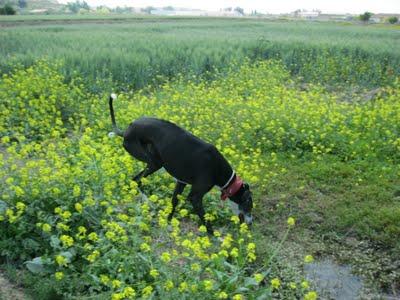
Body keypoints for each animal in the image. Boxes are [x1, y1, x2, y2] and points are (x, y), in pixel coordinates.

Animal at [109, 94, 253, 232]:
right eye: (249, 205)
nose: (250, 224)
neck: (218, 169)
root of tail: (126, 130)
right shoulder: (195, 197)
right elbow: (205, 219)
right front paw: (212, 235)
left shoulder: (181, 182)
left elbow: (174, 202)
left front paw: (168, 222)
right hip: (154, 162)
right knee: (137, 179)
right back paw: (147, 200)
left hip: (154, 162)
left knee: (135, 180)